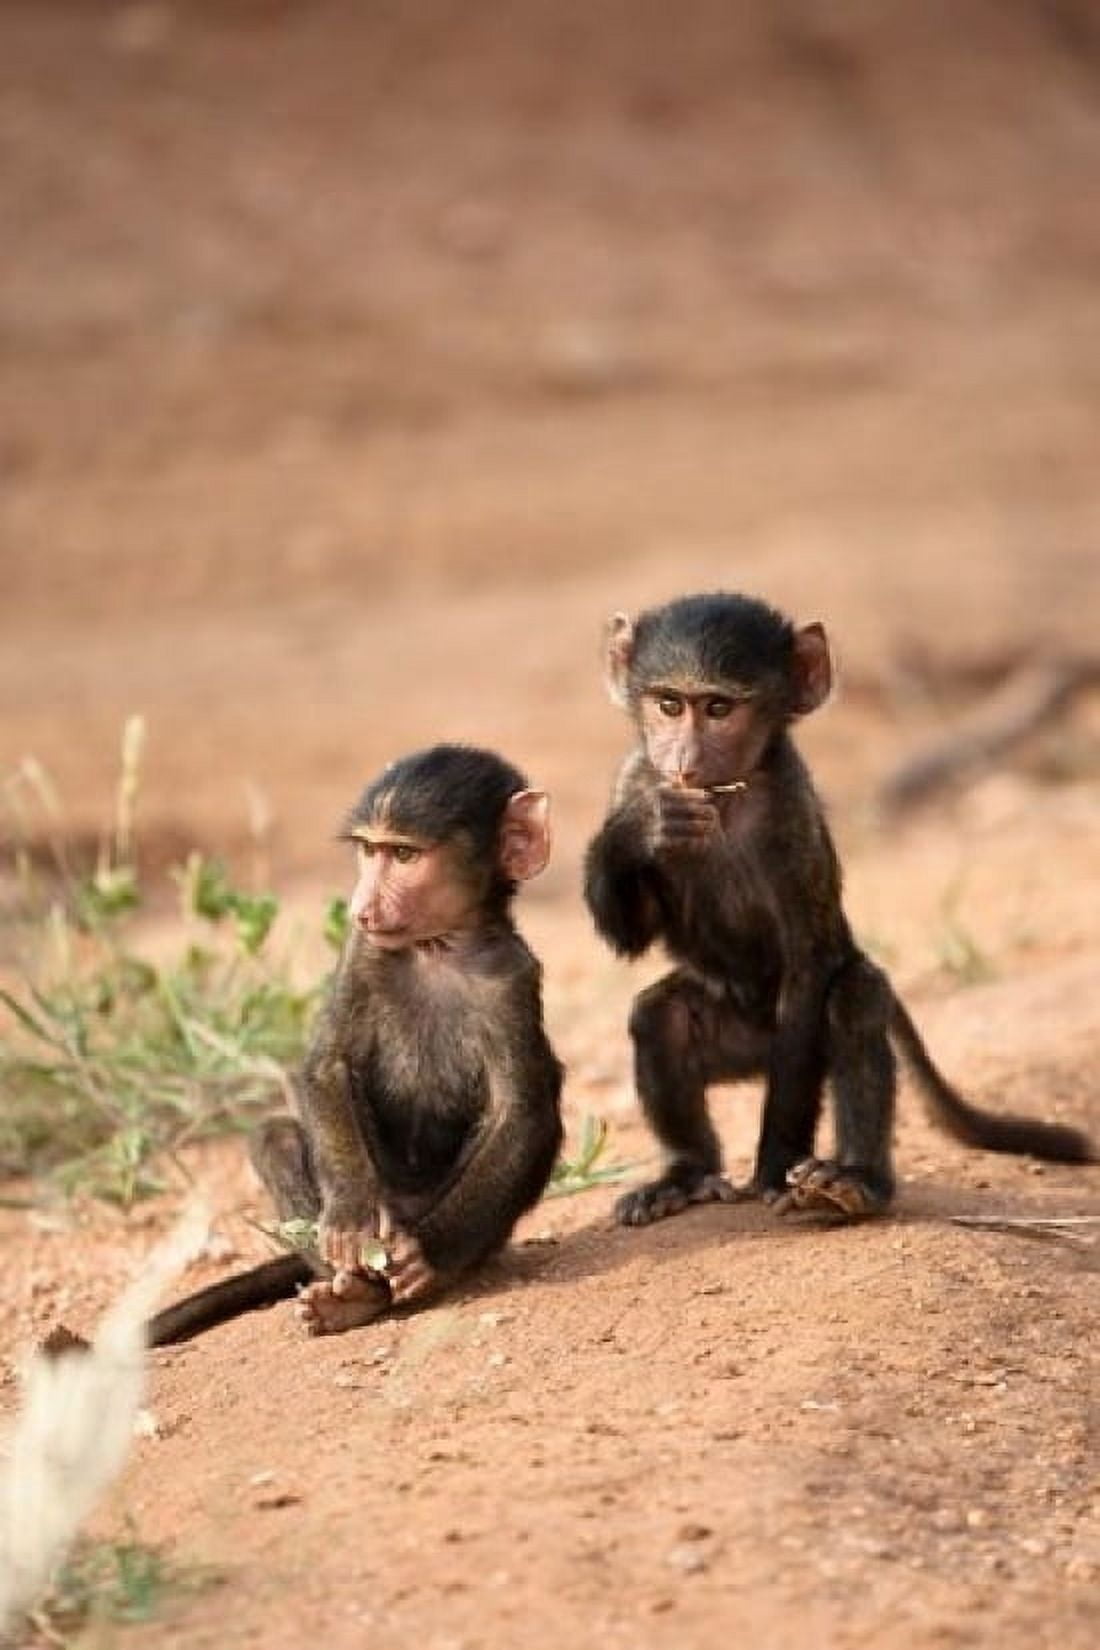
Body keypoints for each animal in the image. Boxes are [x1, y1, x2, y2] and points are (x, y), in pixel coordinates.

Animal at [148, 744, 564, 1343]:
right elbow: (328, 1065)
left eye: (405, 855)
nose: (360, 907)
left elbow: (522, 1112)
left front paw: (428, 1256)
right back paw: (352, 1293)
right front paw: (347, 1215)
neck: (437, 947)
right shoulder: (361, 952)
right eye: (369, 850)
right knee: (276, 1137)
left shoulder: (512, 978)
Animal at [583, 591, 1095, 1228]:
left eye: (719, 708)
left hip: (785, 1042)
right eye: (669, 704)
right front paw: (646, 827)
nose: (685, 761)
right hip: (737, 1038)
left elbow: (809, 962)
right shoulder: (634, 778)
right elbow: (630, 932)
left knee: (853, 997)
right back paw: (687, 1176)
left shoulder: (791, 811)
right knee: (660, 1017)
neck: (725, 800)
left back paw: (856, 1182)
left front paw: (777, 1169)